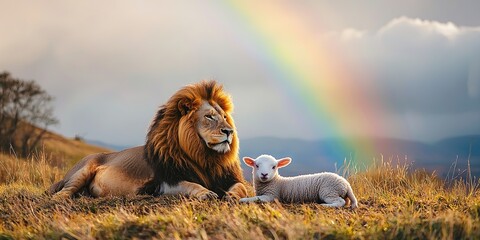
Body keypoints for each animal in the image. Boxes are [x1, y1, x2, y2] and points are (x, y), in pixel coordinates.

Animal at [49, 81, 248, 201]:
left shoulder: (228, 177)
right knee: (64, 190)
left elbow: (241, 188)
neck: (205, 157)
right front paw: (207, 193)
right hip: (82, 170)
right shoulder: (166, 183)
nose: (229, 131)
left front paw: (231, 196)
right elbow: (190, 185)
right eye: (209, 117)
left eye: (224, 117)